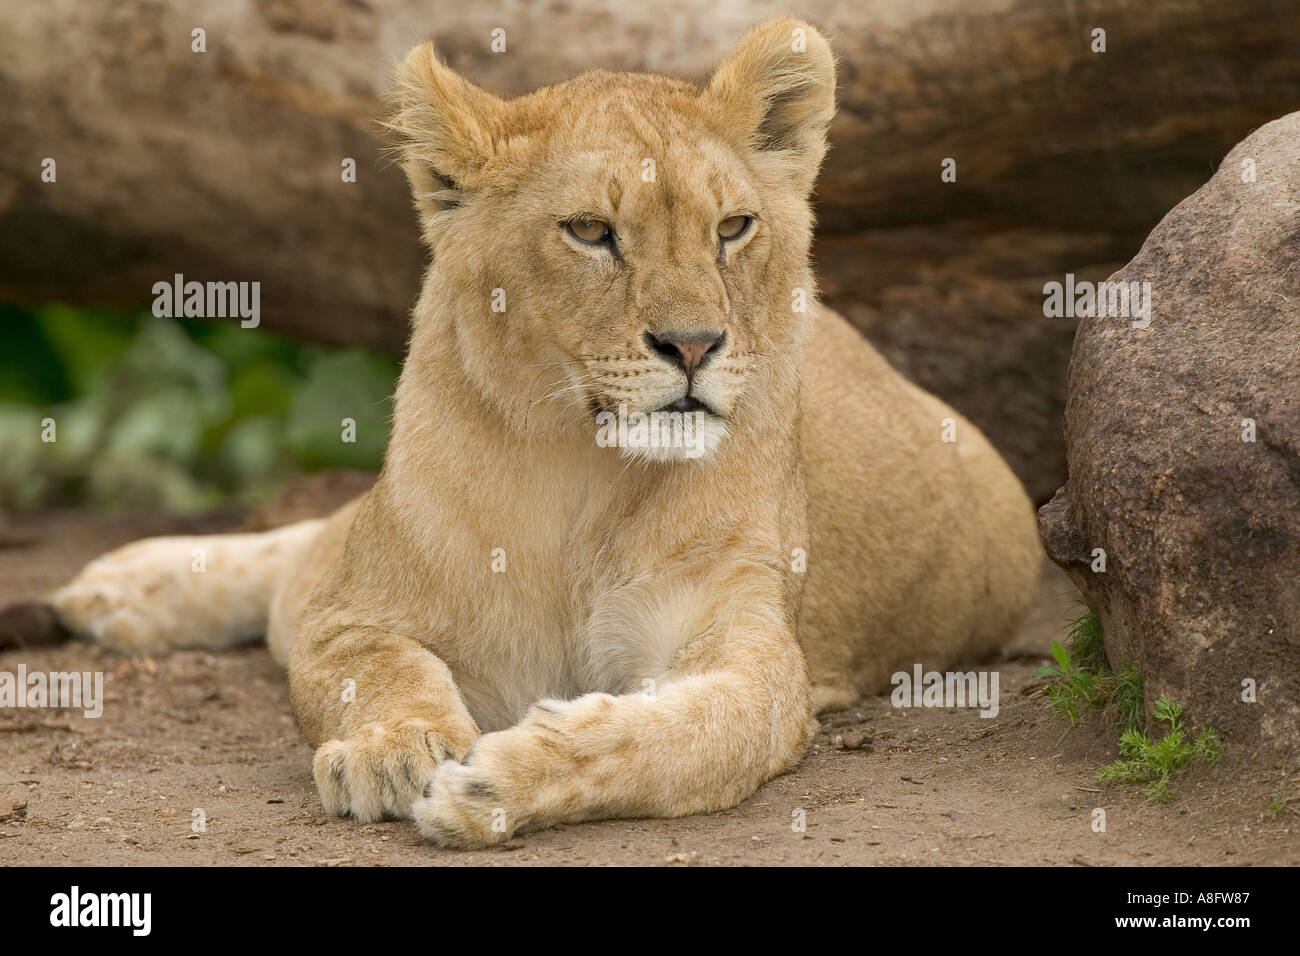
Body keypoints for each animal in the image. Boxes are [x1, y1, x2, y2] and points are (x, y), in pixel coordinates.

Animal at [49, 18, 1041, 848]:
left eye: (733, 227)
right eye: (591, 231)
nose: (695, 345)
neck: (585, 473)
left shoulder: (754, 650)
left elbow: (688, 735)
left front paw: (504, 780)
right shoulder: (360, 606)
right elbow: (373, 665)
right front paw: (393, 749)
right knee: (305, 554)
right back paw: (119, 589)